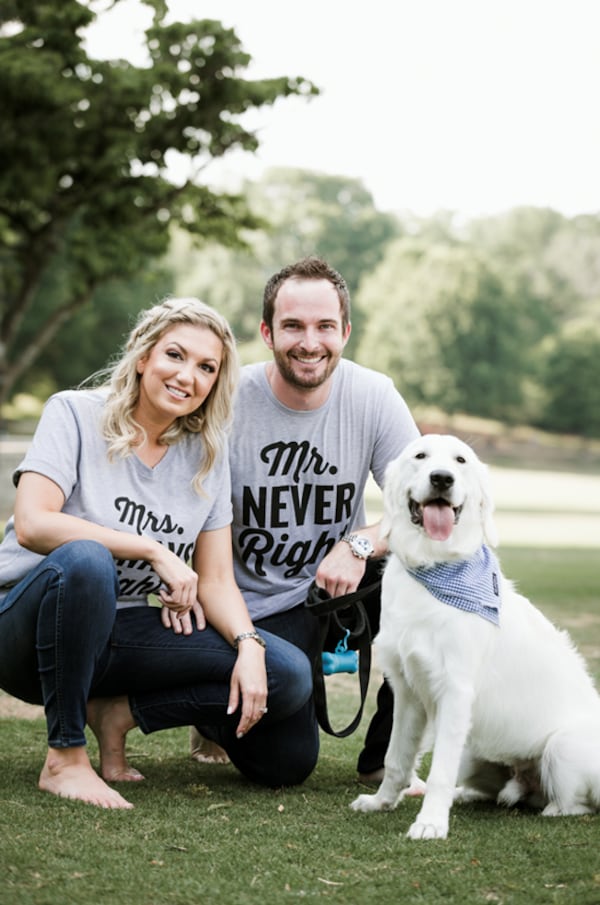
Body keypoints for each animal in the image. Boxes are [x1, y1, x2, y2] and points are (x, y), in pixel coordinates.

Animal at [352, 434, 600, 836]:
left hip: (560, 748)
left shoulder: (454, 691)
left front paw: (430, 824)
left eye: (460, 460)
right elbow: (396, 758)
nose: (441, 478)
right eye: (420, 456)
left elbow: (438, 770)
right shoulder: (407, 690)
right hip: (474, 752)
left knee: (572, 804)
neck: (435, 566)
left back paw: (552, 809)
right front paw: (382, 802)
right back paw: (465, 795)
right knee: (497, 791)